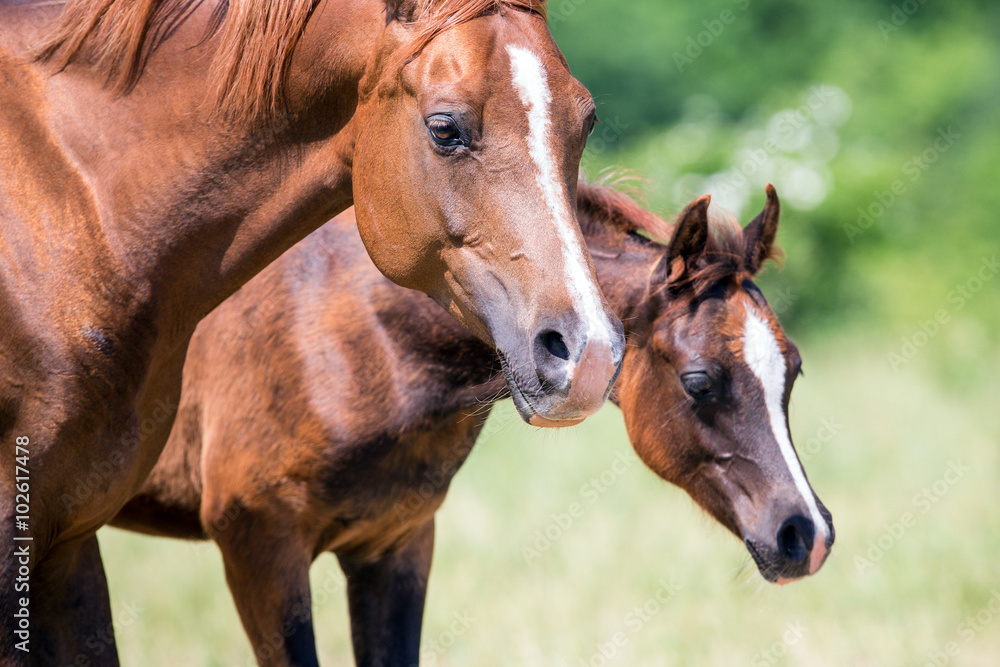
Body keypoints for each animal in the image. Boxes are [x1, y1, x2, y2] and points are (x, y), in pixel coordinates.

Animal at [0, 1, 627, 661]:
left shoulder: (71, 541)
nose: (587, 354)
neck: (81, 206)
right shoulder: (258, 539)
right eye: (445, 129)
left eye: (585, 123)